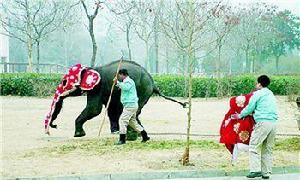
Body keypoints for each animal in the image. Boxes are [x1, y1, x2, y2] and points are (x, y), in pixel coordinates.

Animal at [46, 59, 188, 137]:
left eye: (64, 82)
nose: (55, 126)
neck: (91, 68)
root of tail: (153, 84)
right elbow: (110, 109)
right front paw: (114, 131)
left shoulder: (97, 88)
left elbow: (94, 109)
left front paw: (78, 135)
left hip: (142, 90)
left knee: (136, 111)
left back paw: (132, 132)